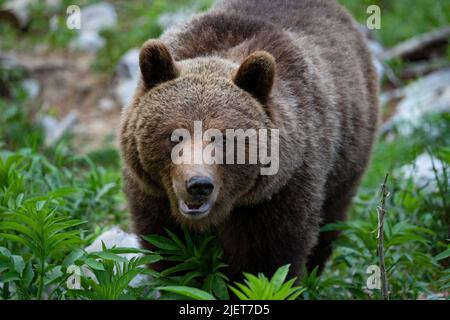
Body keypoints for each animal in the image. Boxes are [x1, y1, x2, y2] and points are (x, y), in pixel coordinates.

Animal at [120, 0, 380, 280]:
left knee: (331, 217)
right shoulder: (152, 193)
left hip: (347, 157)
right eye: (174, 135)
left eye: (223, 139)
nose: (199, 185)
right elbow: (169, 252)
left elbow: (267, 261)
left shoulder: (277, 194)